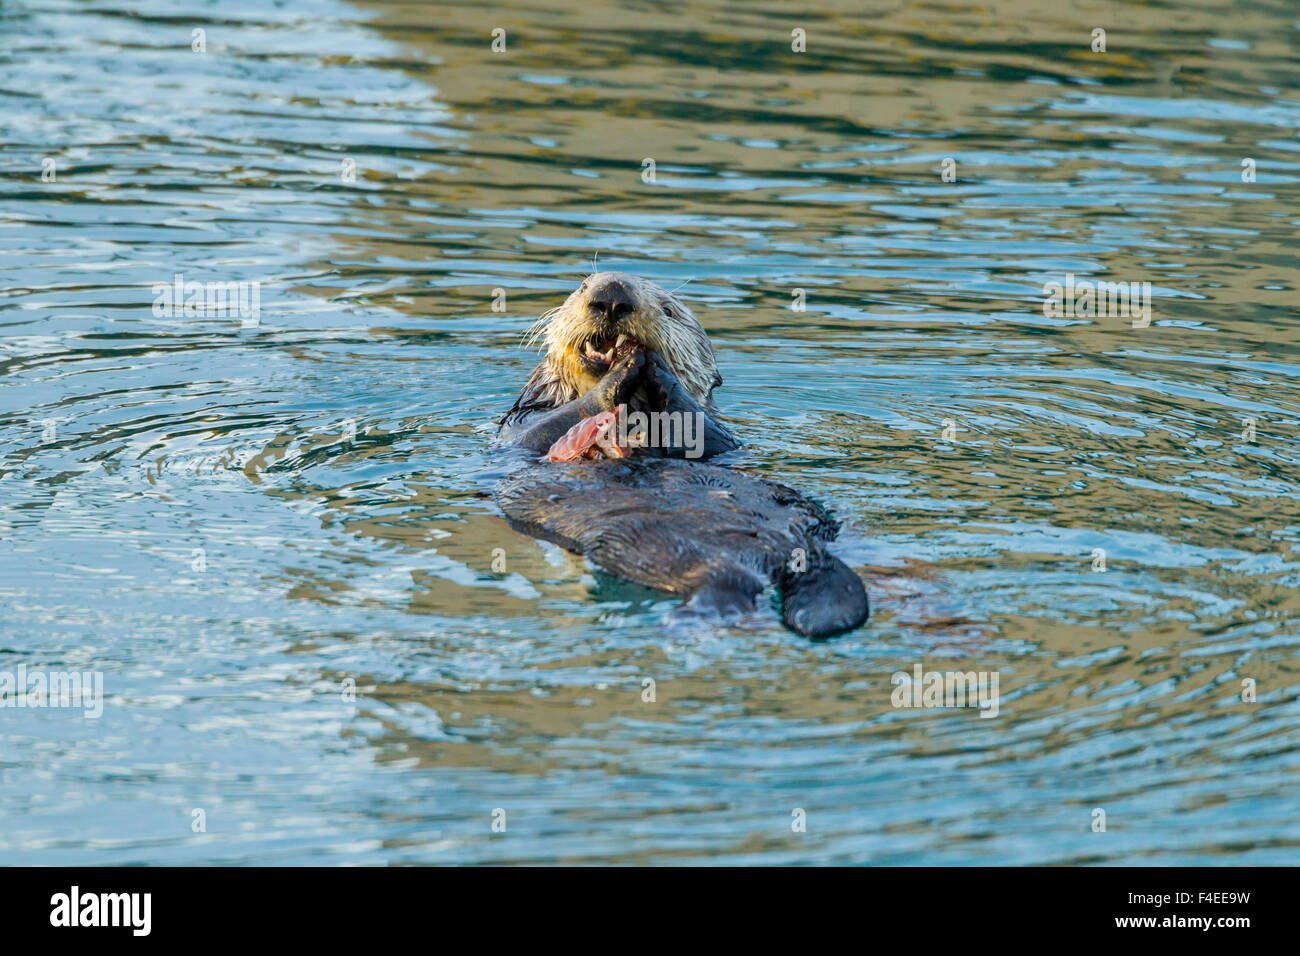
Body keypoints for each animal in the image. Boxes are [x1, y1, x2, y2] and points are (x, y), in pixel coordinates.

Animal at [495, 271, 869, 639]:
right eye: (583, 287)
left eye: (668, 310)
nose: (612, 295)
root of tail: (786, 550)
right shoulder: (520, 428)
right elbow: (541, 432)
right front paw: (623, 369)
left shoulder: (721, 439)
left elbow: (703, 431)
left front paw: (656, 367)